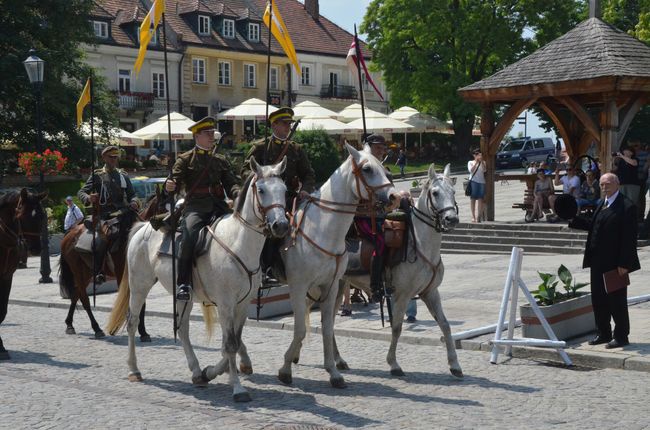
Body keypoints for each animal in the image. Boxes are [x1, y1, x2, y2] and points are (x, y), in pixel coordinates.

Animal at [0, 189, 47, 360]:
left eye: (42, 216)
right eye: (22, 216)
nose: (36, 249)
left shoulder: (6, 277)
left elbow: (2, 311)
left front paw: (1, 347)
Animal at [58, 193, 161, 340]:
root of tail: (70, 233)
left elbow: (141, 303)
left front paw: (143, 332)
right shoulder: (122, 275)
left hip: (87, 273)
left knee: (76, 295)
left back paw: (69, 324)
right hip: (78, 271)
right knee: (84, 298)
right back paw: (96, 328)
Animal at [105, 158, 286, 404]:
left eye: (285, 190)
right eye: (262, 190)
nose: (281, 225)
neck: (238, 242)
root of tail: (142, 227)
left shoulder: (242, 304)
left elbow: (233, 342)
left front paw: (211, 372)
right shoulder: (226, 304)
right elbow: (230, 344)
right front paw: (238, 389)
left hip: (184, 295)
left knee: (182, 329)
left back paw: (197, 371)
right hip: (139, 286)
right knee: (132, 322)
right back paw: (134, 369)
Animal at [276, 143, 398, 388]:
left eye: (385, 169)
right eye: (367, 169)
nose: (395, 196)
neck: (322, 229)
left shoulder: (329, 287)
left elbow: (326, 327)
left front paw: (332, 371)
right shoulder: (298, 287)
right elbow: (301, 328)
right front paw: (285, 370)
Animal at [340, 163, 460, 378]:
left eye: (453, 191)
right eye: (435, 193)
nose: (451, 219)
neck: (420, 244)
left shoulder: (430, 292)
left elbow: (445, 325)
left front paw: (454, 364)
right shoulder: (402, 296)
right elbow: (396, 328)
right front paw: (393, 364)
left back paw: (339, 362)